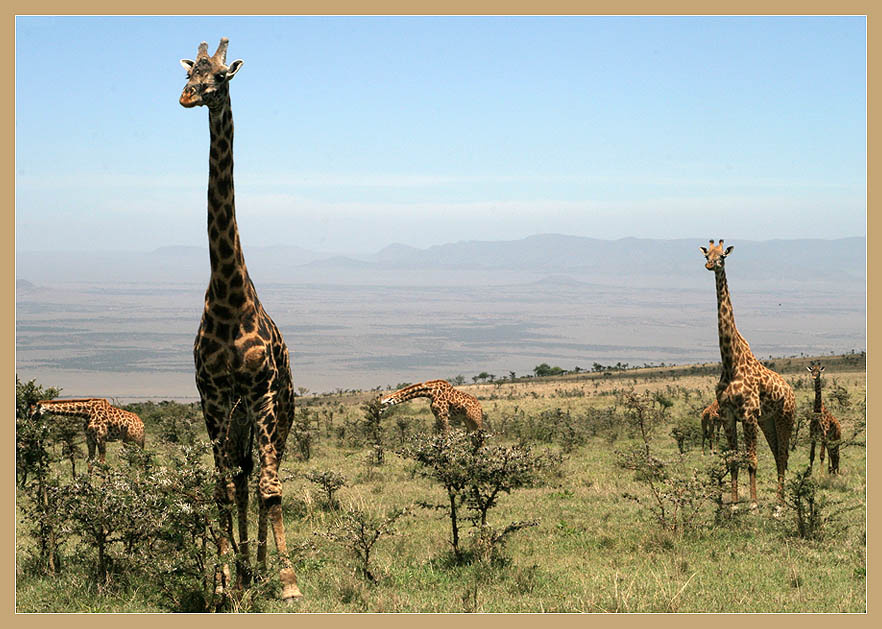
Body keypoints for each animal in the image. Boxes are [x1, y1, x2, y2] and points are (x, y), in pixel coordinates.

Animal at [699, 239, 794, 508]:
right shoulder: (728, 415)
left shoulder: (749, 414)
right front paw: (733, 502)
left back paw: (779, 504)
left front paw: (752, 503)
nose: (710, 265)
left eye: (722, 256)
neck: (731, 362)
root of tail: (791, 392)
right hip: (768, 421)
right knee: (778, 456)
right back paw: (778, 500)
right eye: (707, 254)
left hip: (785, 418)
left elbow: (751, 460)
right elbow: (733, 460)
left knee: (783, 455)